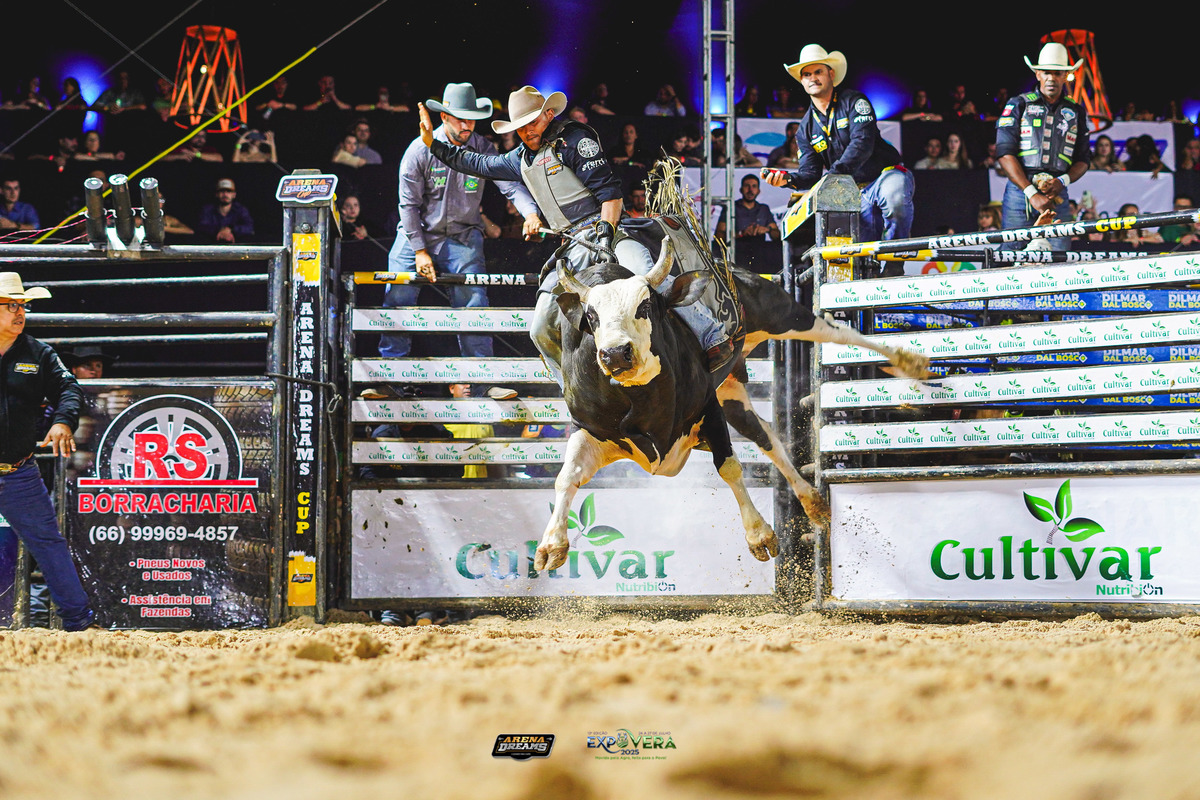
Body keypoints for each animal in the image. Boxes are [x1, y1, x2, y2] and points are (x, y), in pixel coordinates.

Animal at [534, 236, 929, 572]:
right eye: (592, 317)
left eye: (645, 306)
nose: (615, 354)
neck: (639, 397)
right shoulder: (592, 430)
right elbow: (567, 476)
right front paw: (551, 545)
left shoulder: (708, 409)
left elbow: (729, 467)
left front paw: (760, 536)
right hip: (733, 394)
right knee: (766, 436)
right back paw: (813, 503)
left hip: (781, 315)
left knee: (836, 331)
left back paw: (909, 361)